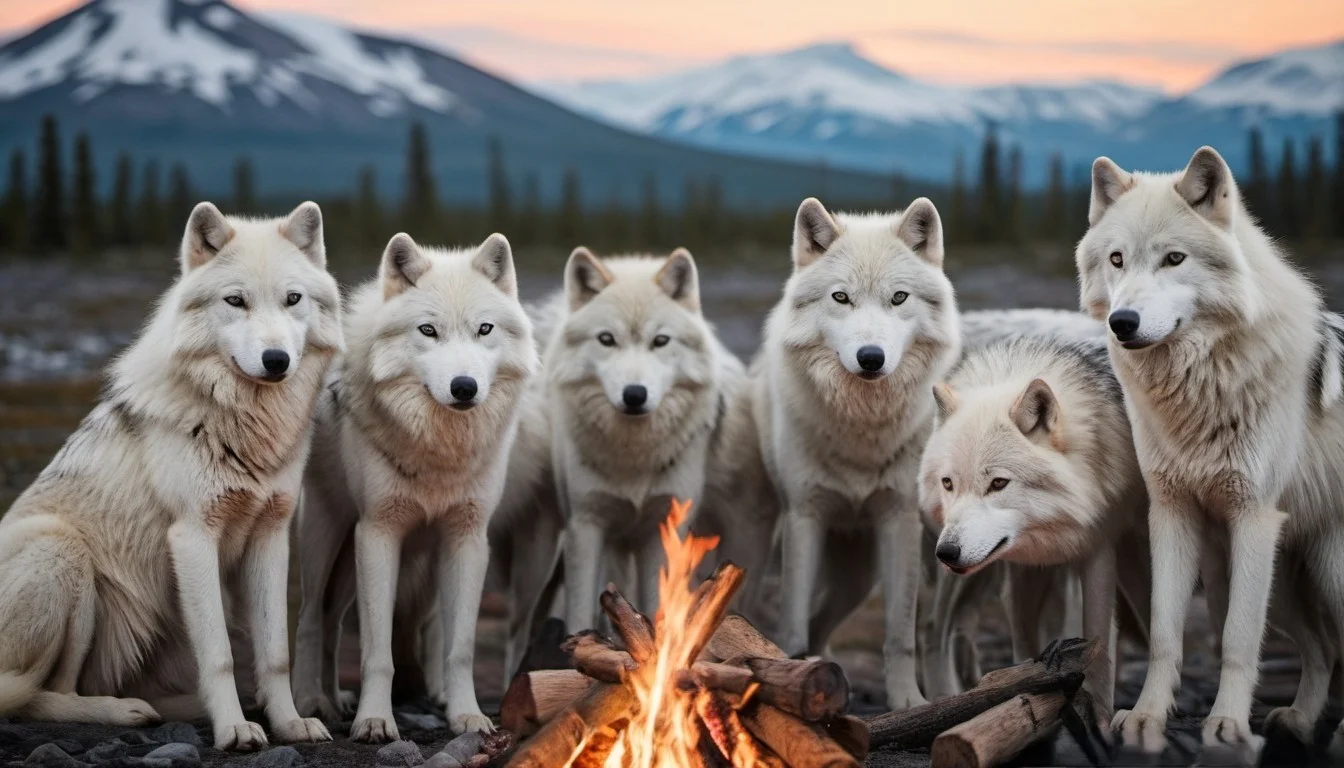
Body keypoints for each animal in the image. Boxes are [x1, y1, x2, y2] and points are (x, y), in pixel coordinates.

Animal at [0, 202, 341, 750]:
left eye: (293, 299)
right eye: (235, 301)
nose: (277, 361)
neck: (241, 426)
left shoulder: (270, 535)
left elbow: (274, 653)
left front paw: (289, 723)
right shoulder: (193, 537)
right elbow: (220, 655)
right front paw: (234, 730)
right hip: (63, 552)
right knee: (42, 695)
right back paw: (125, 711)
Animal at [291, 232, 537, 741]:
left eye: (484, 329)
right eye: (428, 331)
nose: (464, 387)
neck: (439, 450)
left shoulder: (467, 539)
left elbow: (460, 647)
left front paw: (467, 716)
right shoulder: (379, 533)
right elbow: (378, 652)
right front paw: (375, 720)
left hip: (355, 565)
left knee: (333, 623)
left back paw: (334, 700)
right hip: (328, 537)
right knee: (309, 618)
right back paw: (310, 701)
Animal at [918, 328, 1151, 721]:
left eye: (998, 483)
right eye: (948, 483)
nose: (947, 552)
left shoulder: (1100, 548)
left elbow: (1100, 644)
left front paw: (1100, 721)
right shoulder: (1021, 569)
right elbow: (1024, 646)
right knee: (934, 626)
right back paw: (939, 701)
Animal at [1078, 145, 1344, 754]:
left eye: (1174, 259)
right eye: (1117, 260)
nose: (1121, 322)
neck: (1204, 383)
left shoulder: (1253, 518)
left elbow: (1238, 642)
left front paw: (1226, 726)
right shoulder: (1171, 513)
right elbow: (1165, 634)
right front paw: (1147, 719)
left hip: (1325, 573)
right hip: (1289, 583)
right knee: (1323, 648)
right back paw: (1299, 720)